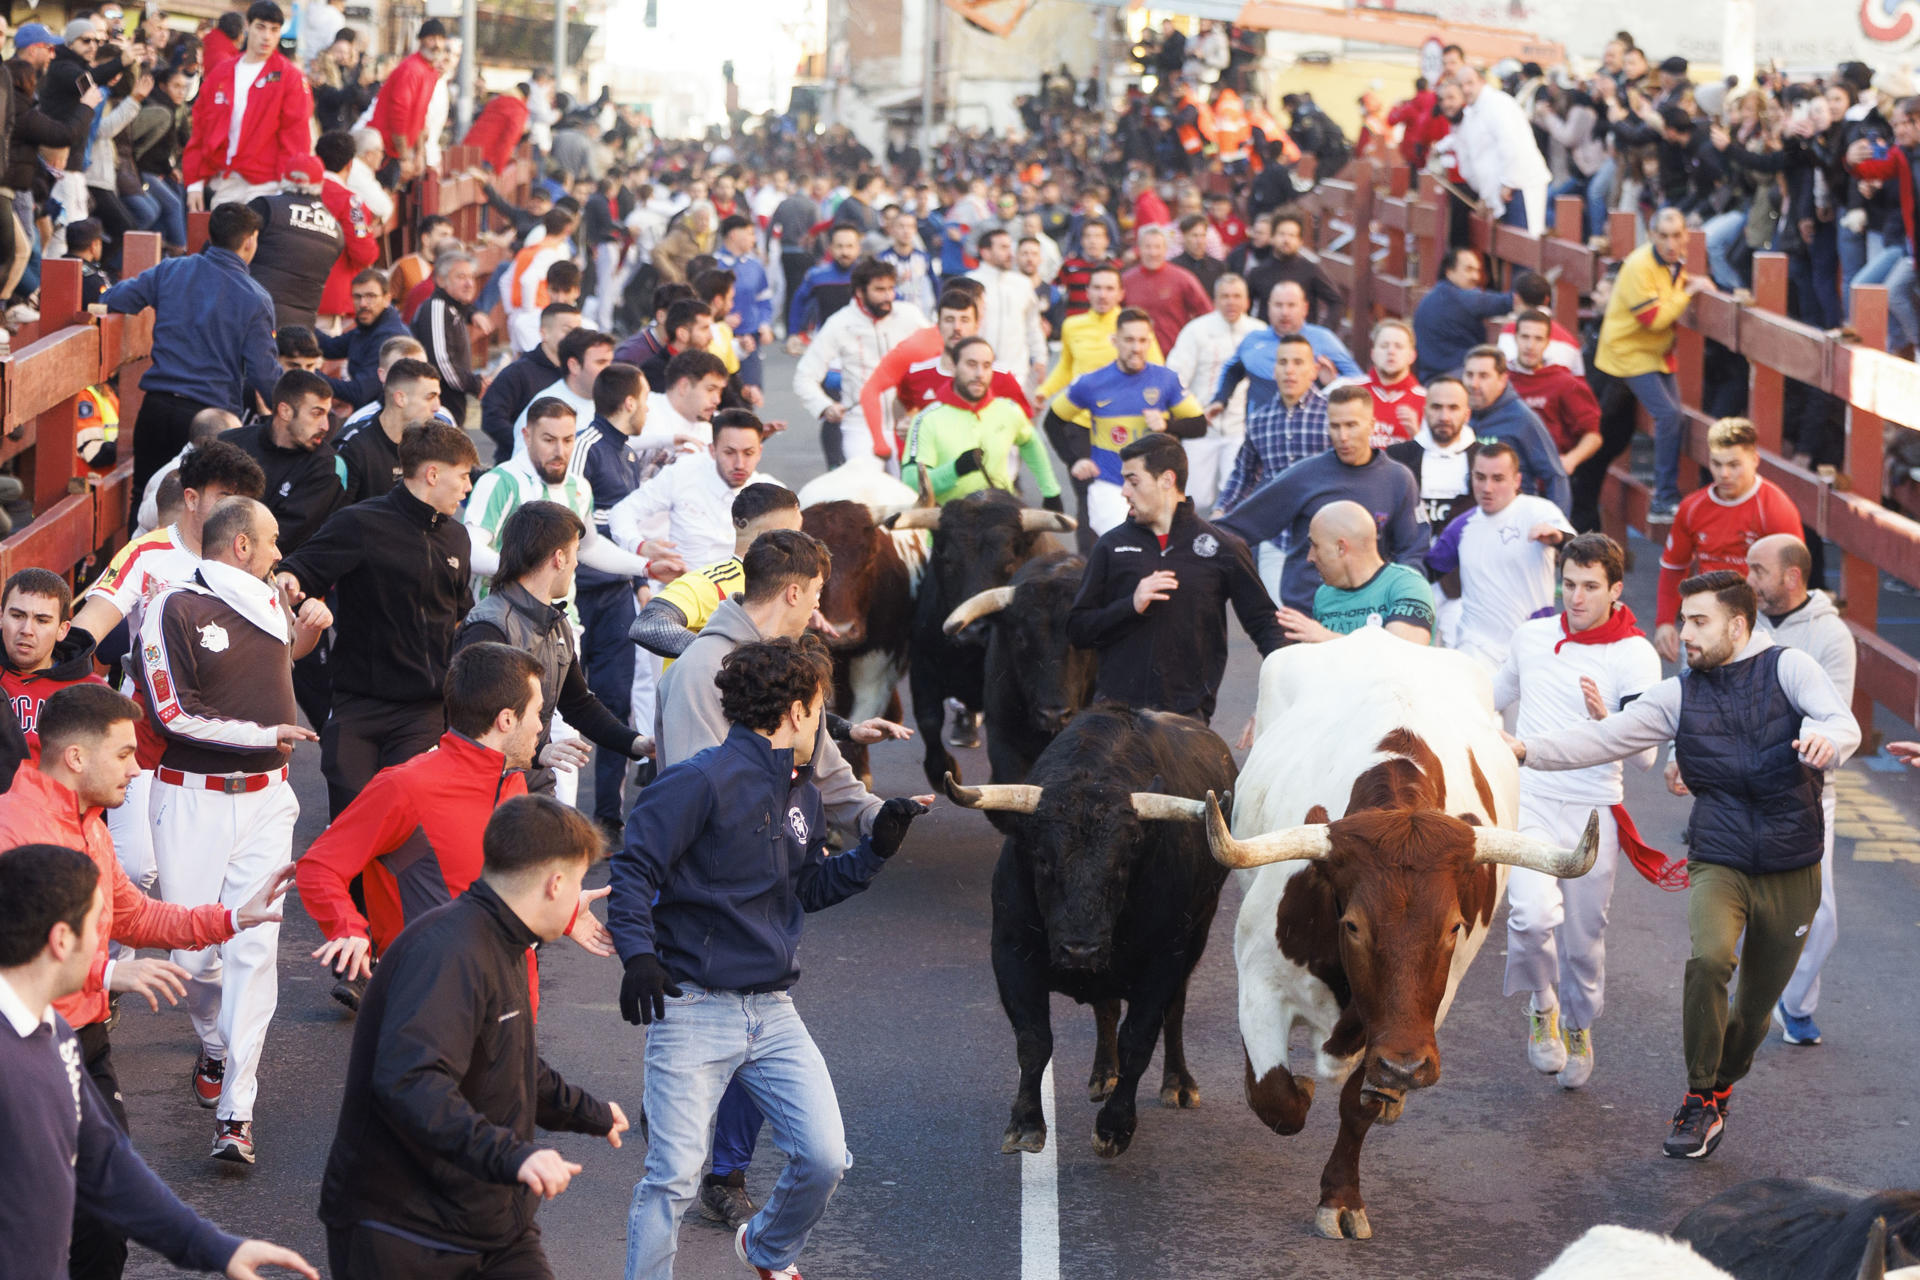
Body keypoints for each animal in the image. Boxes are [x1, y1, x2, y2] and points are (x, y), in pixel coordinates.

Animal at [948, 706, 1244, 1166]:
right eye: (1042, 859)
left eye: (1124, 862)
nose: (1079, 949)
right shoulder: (1010, 953)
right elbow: (1034, 1040)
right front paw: (1026, 1124)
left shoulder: (1164, 961)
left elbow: (1139, 1038)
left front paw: (1114, 1128)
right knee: (1105, 1007)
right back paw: (1104, 1074)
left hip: (1198, 933)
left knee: (1174, 1012)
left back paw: (1177, 1084)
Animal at [1205, 629, 1597, 1243]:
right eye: (1352, 925)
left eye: (1455, 925)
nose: (1408, 1071)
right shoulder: (1260, 978)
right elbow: (1277, 1096)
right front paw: (1291, 1090)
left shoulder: (1410, 1022)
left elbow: (1357, 1105)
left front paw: (1341, 1197)